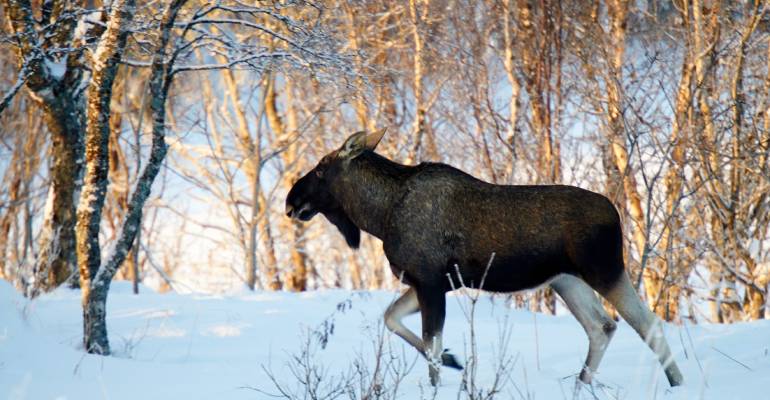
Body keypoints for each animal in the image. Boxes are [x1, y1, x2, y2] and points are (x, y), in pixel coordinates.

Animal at [284, 130, 680, 386]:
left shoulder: (430, 281)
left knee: (648, 324)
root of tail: (616, 214)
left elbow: (428, 345)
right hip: (566, 280)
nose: (291, 200)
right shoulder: (432, 282)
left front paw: (443, 371)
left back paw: (676, 383)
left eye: (321, 168)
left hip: (604, 270)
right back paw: (581, 385)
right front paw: (454, 359)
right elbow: (392, 319)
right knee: (602, 326)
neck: (379, 216)